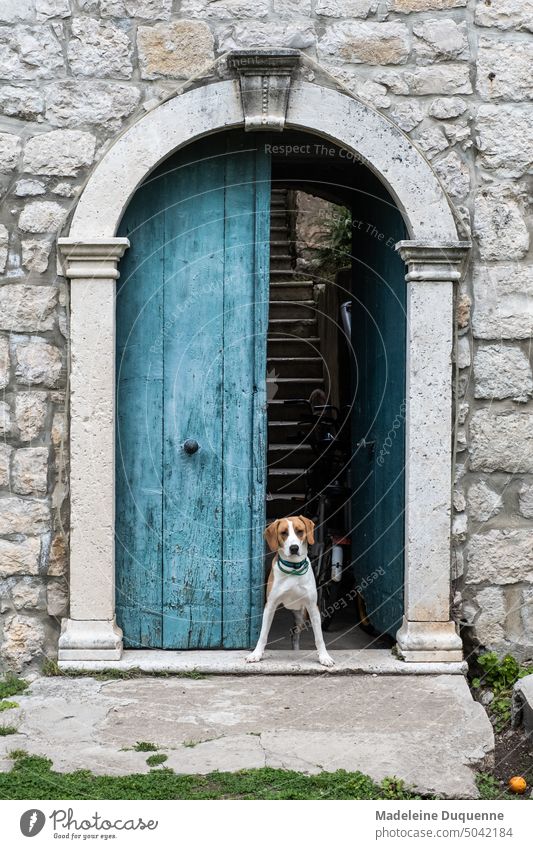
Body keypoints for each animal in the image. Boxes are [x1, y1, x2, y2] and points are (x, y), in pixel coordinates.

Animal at [244, 512, 332, 664]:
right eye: (283, 533)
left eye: (300, 531)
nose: (294, 548)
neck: (293, 569)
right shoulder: (270, 605)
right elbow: (263, 634)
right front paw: (256, 654)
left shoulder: (312, 607)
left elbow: (319, 637)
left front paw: (324, 656)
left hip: (301, 615)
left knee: (295, 634)